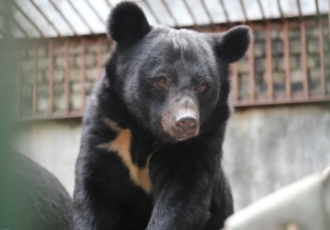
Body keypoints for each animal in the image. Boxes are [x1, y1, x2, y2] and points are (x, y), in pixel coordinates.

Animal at [73, 2, 251, 230]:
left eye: (204, 85)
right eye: (162, 80)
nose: (186, 122)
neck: (146, 131)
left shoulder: (201, 141)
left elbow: (183, 198)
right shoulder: (106, 130)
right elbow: (95, 191)